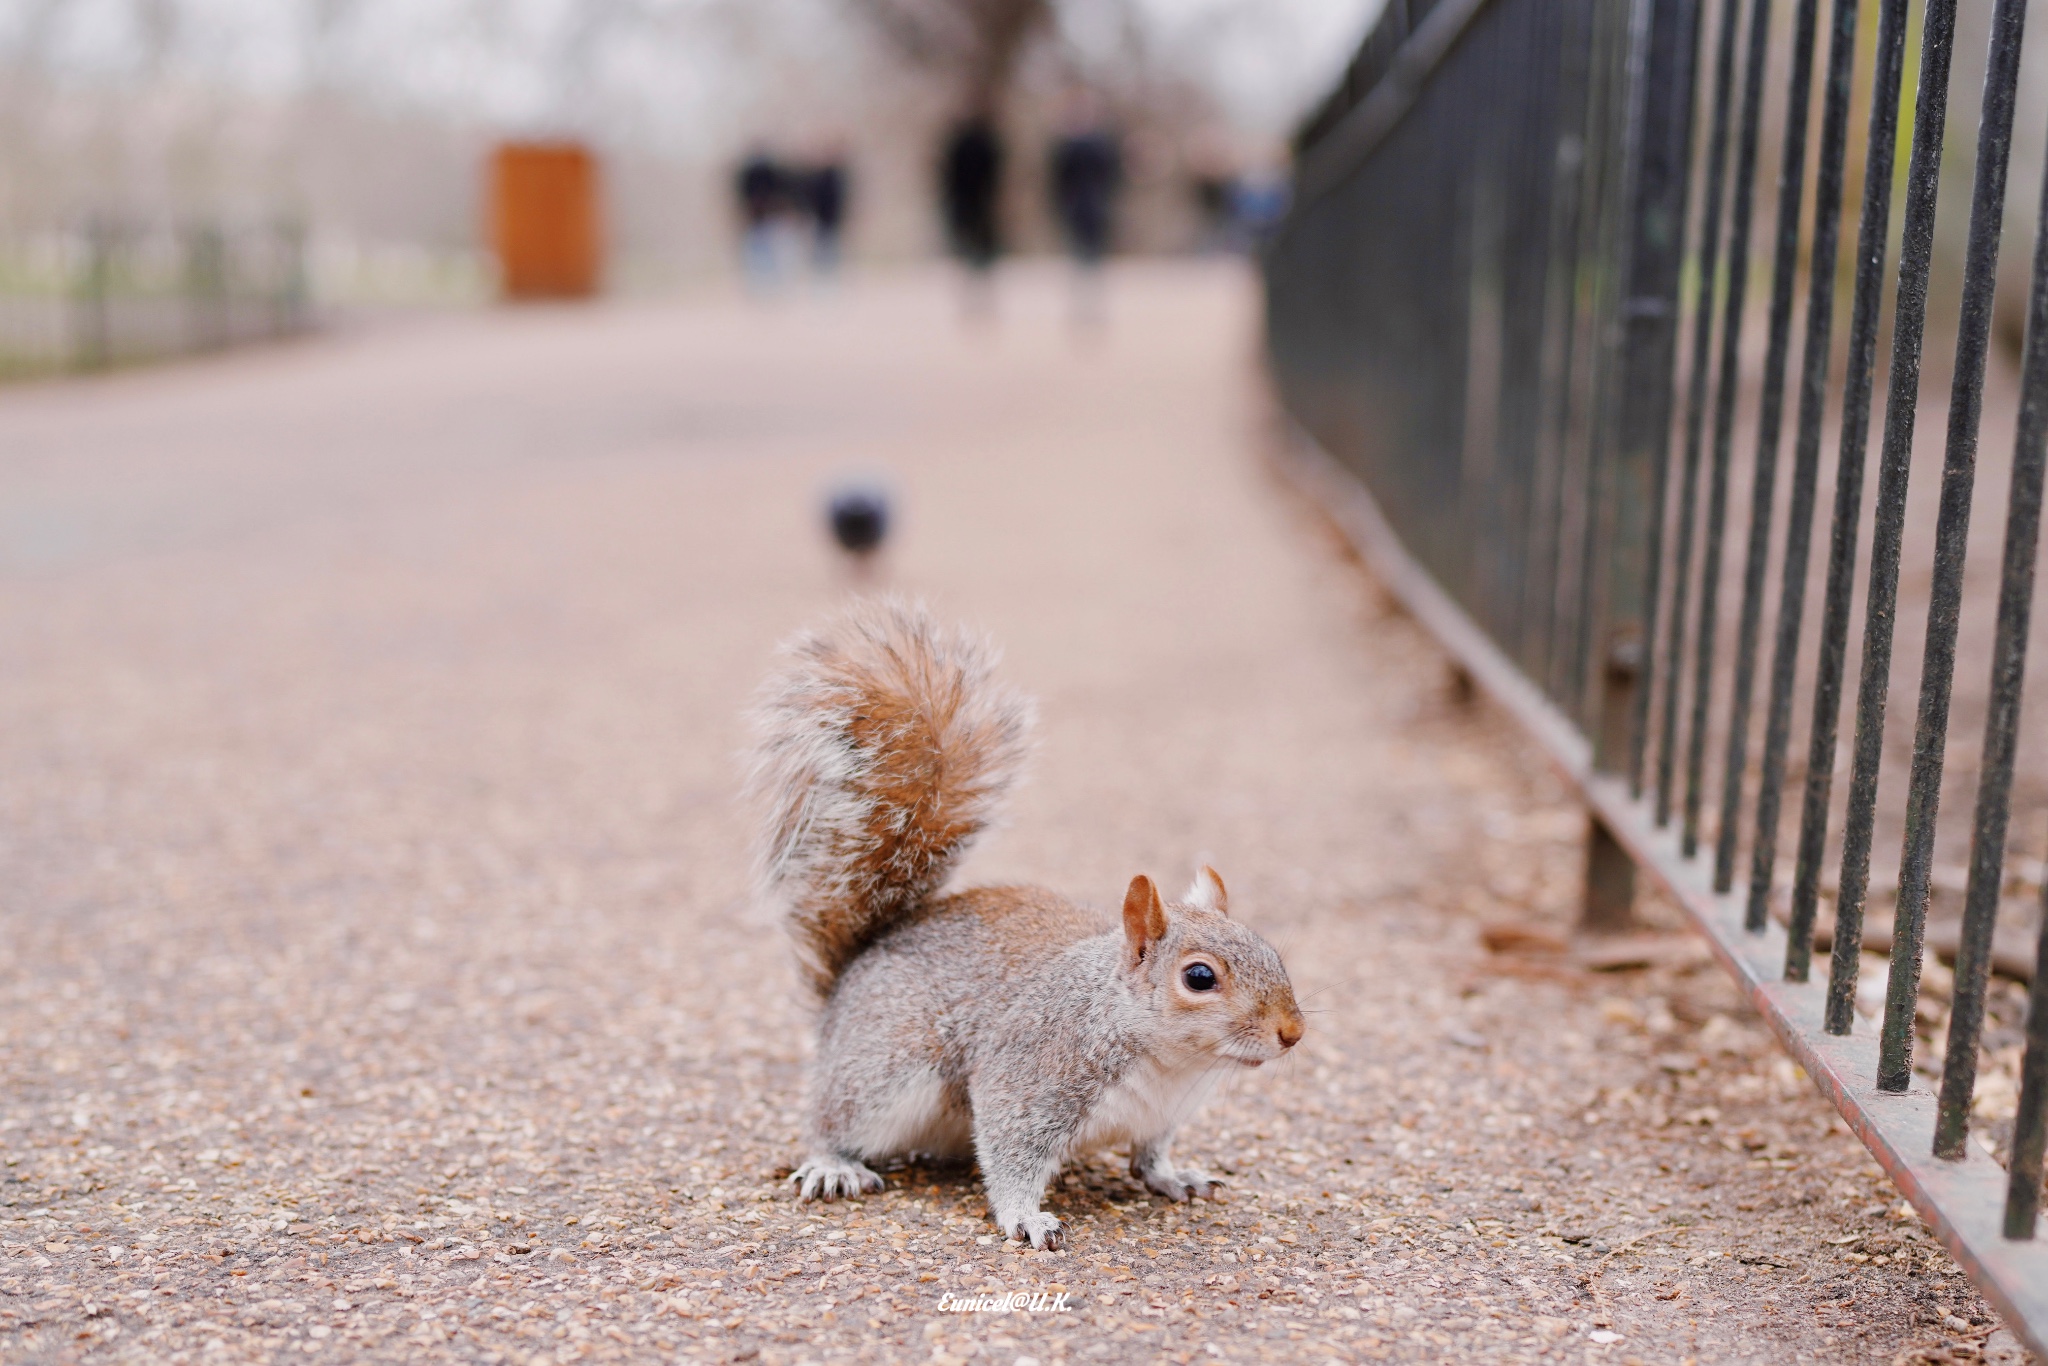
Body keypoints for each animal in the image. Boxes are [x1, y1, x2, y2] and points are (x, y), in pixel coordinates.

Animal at [745, 598, 1302, 1253]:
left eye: (1274, 955)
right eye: (1199, 977)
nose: (1293, 1033)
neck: (1168, 1063)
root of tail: (850, 977)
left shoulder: (1163, 1115)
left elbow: (1150, 1156)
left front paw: (1174, 1176)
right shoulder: (1029, 1077)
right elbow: (1012, 1156)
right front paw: (1025, 1218)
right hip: (882, 1069)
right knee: (835, 1118)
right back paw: (833, 1163)